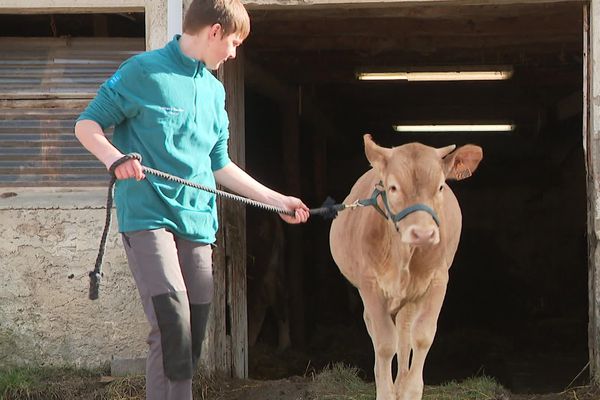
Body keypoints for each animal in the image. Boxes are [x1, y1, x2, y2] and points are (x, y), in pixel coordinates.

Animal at [328, 135, 482, 400]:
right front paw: (386, 392)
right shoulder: (370, 285)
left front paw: (410, 390)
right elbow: (384, 343)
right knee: (378, 329)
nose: (423, 234)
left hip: (411, 297)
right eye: (393, 188)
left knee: (405, 330)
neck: (402, 254)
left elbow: (421, 337)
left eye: (440, 187)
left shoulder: (438, 280)